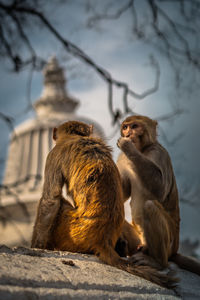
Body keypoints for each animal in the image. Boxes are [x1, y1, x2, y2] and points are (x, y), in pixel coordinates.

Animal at [31, 120, 177, 288]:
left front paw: (37, 246)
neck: (75, 137)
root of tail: (103, 240)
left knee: (60, 204)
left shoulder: (53, 155)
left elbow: (51, 199)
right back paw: (121, 246)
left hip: (69, 231)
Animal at [116, 114, 200, 274]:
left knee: (150, 206)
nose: (128, 134)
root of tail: (174, 251)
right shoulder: (122, 158)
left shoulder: (159, 153)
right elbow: (121, 192)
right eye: (125, 127)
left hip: (170, 242)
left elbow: (160, 189)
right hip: (138, 238)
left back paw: (157, 262)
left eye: (134, 126)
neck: (142, 150)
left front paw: (128, 146)